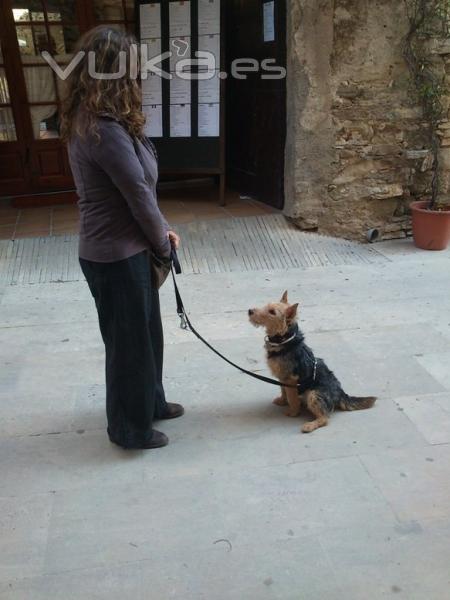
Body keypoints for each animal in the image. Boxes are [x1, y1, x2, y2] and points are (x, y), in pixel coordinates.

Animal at [248, 290, 374, 432]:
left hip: (314, 394)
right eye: (266, 306)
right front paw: (282, 400)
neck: (284, 339)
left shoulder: (291, 380)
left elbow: (292, 397)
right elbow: (283, 390)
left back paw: (310, 425)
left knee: (324, 418)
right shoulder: (282, 377)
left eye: (272, 312)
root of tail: (341, 393)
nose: (250, 311)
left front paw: (293, 412)